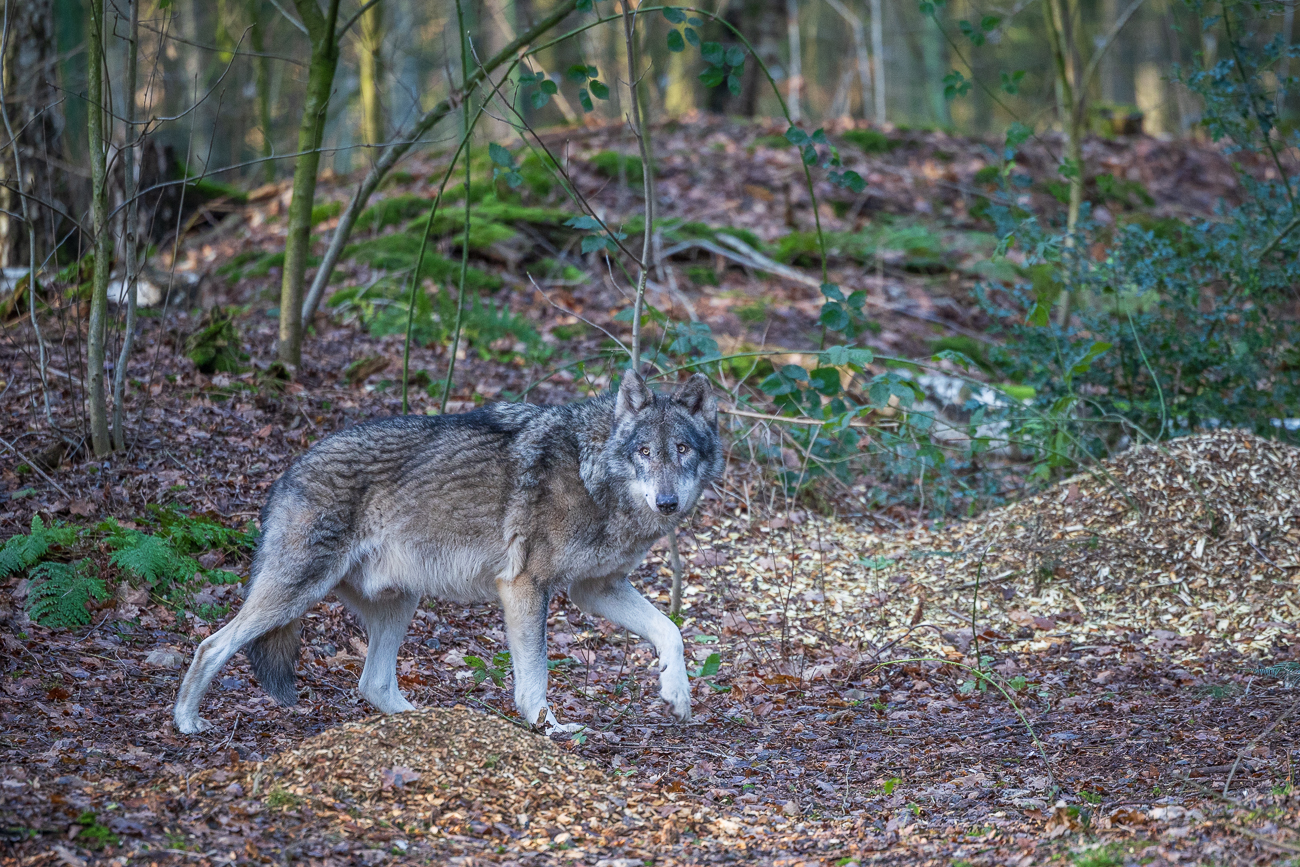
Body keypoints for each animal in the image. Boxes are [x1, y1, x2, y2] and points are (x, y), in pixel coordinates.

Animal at [173, 370, 722, 735]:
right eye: (645, 453)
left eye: (682, 450)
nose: (667, 502)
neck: (595, 476)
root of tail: (286, 474)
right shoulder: (525, 586)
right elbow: (535, 676)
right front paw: (548, 727)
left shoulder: (595, 589)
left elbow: (671, 631)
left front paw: (677, 695)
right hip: (295, 594)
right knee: (211, 645)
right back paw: (187, 721)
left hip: (399, 603)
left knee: (373, 685)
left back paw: (428, 721)